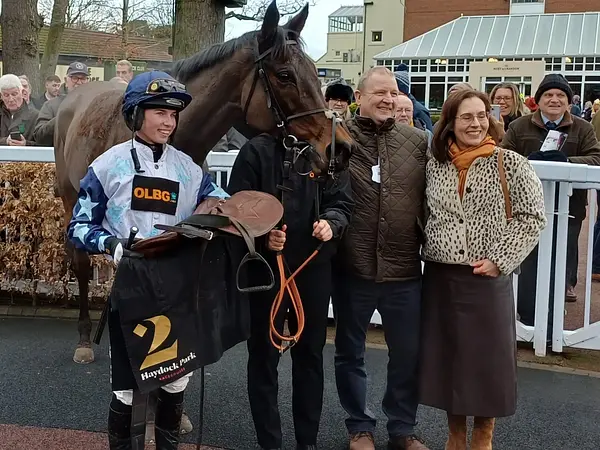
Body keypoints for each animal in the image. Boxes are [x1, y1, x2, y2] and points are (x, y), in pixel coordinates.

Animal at [54, 1, 354, 364]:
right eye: (285, 76)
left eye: (313, 70)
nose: (341, 148)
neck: (166, 143)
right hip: (71, 198)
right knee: (82, 264)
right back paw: (85, 337)